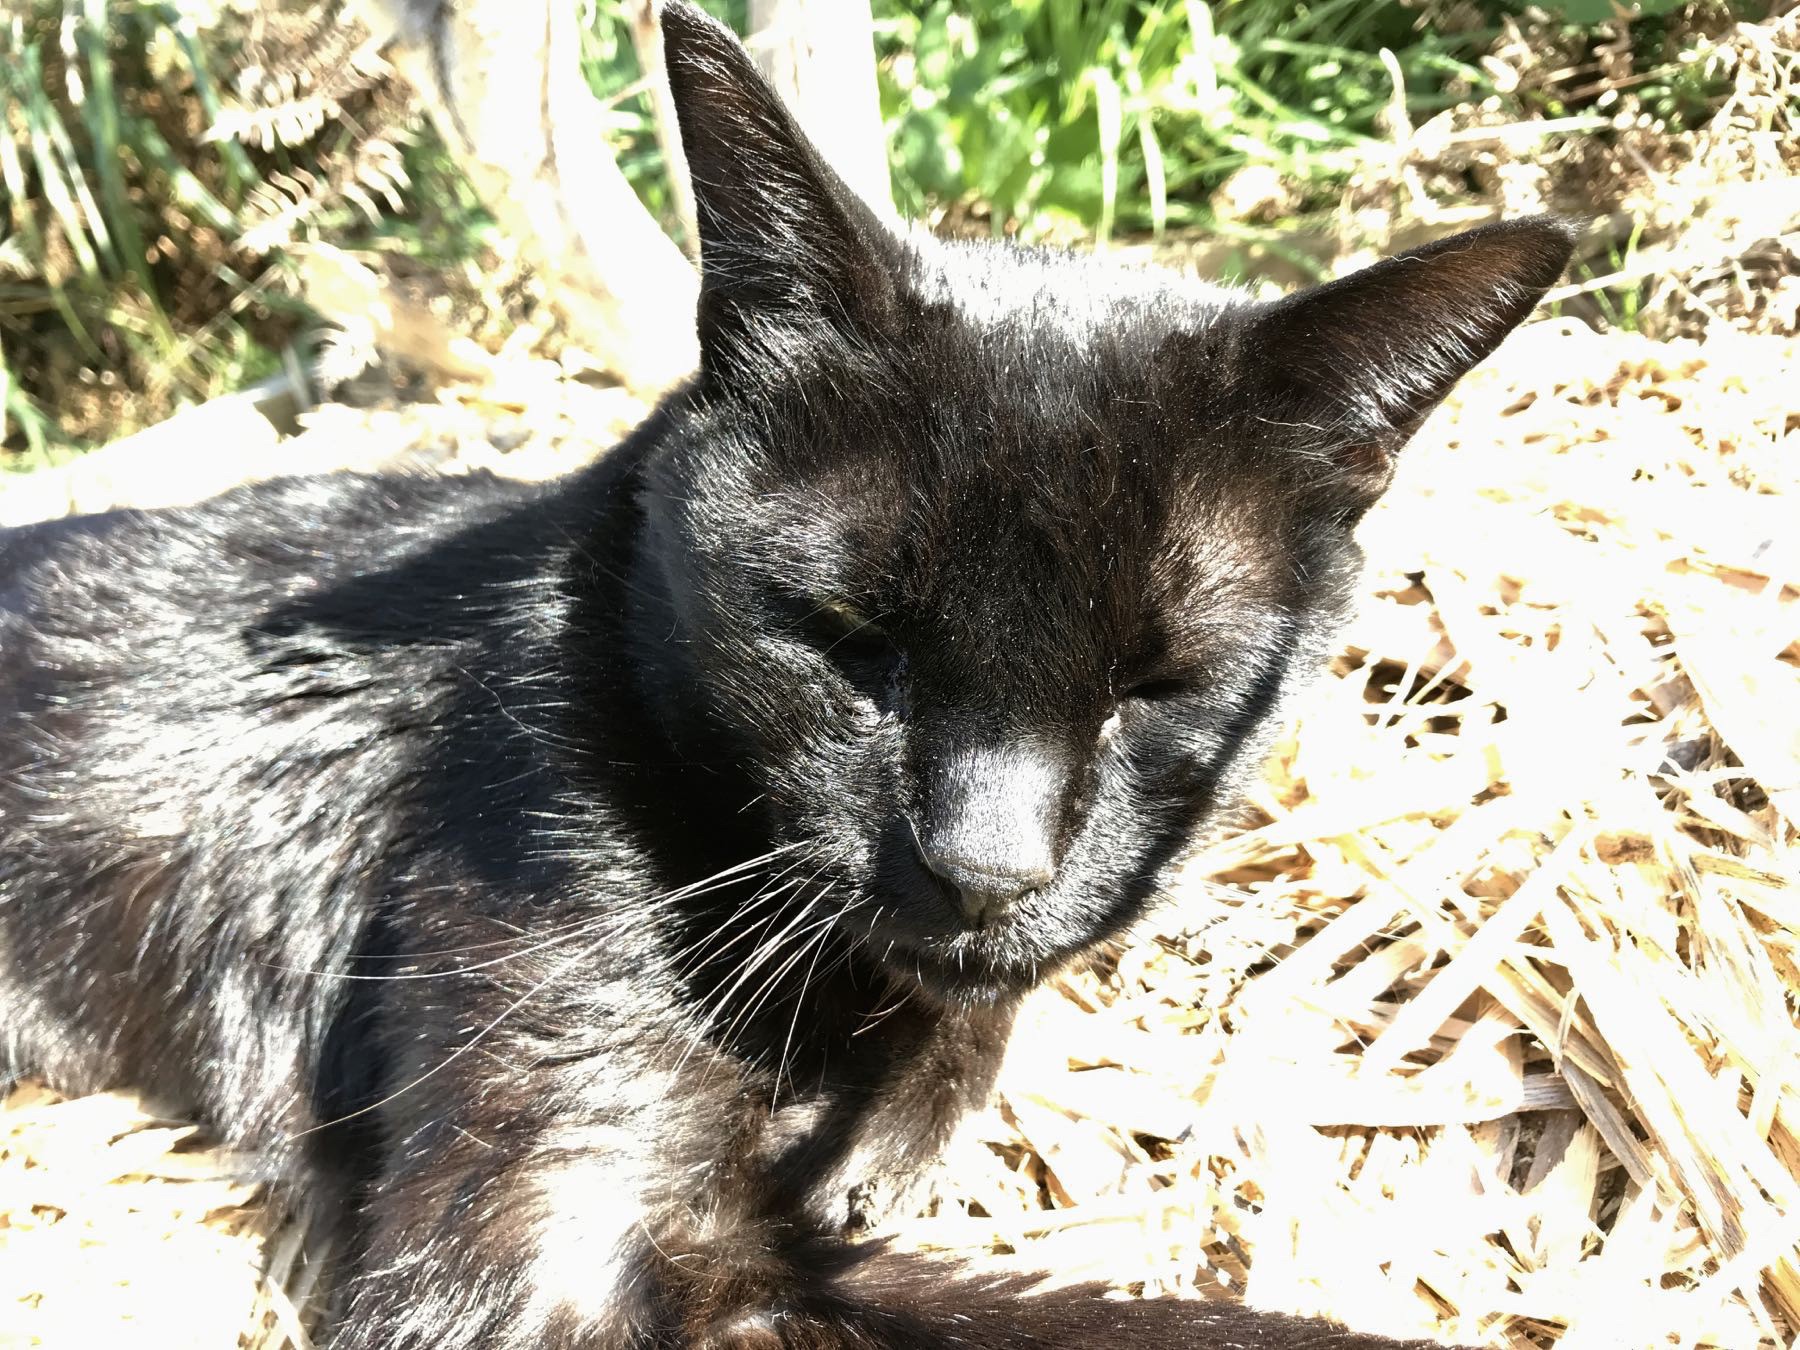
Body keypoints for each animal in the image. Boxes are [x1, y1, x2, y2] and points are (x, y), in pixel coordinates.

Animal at [0, 5, 1576, 1346]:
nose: (985, 865)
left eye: (1162, 684)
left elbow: (988, 997)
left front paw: (907, 1111)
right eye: (846, 634)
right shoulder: (544, 1238)